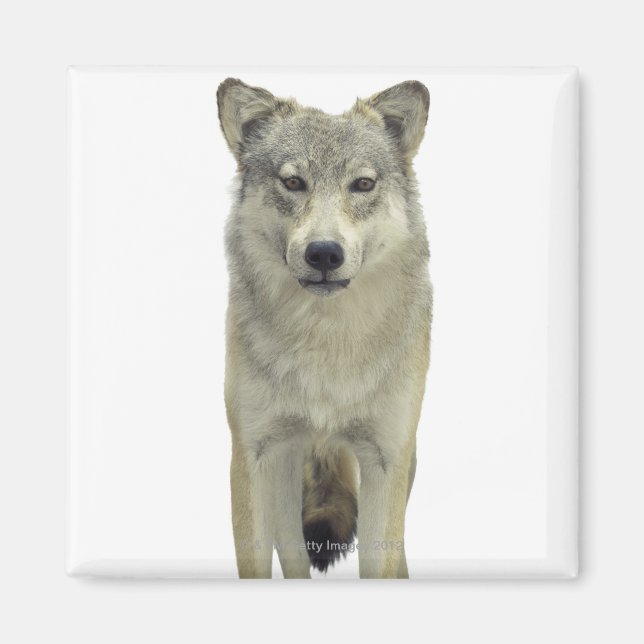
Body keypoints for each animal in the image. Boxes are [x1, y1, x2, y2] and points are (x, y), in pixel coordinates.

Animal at [217, 77, 432, 578]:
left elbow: (382, 560)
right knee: (293, 553)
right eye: (293, 182)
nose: (324, 253)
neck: (326, 341)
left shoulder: (386, 458)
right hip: (284, 468)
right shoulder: (252, 454)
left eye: (363, 184)